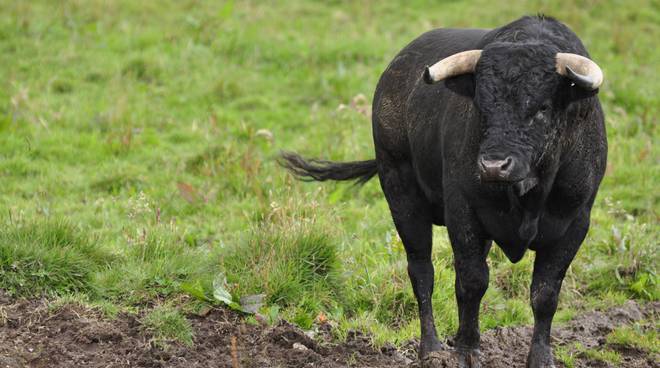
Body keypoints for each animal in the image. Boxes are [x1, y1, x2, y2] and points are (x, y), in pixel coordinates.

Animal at [282, 15, 604, 368]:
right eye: (481, 106)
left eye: (543, 108)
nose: (493, 166)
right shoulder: (462, 210)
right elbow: (473, 281)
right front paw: (465, 350)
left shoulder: (575, 221)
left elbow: (545, 293)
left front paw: (541, 357)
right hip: (401, 194)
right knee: (422, 271)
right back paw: (432, 347)